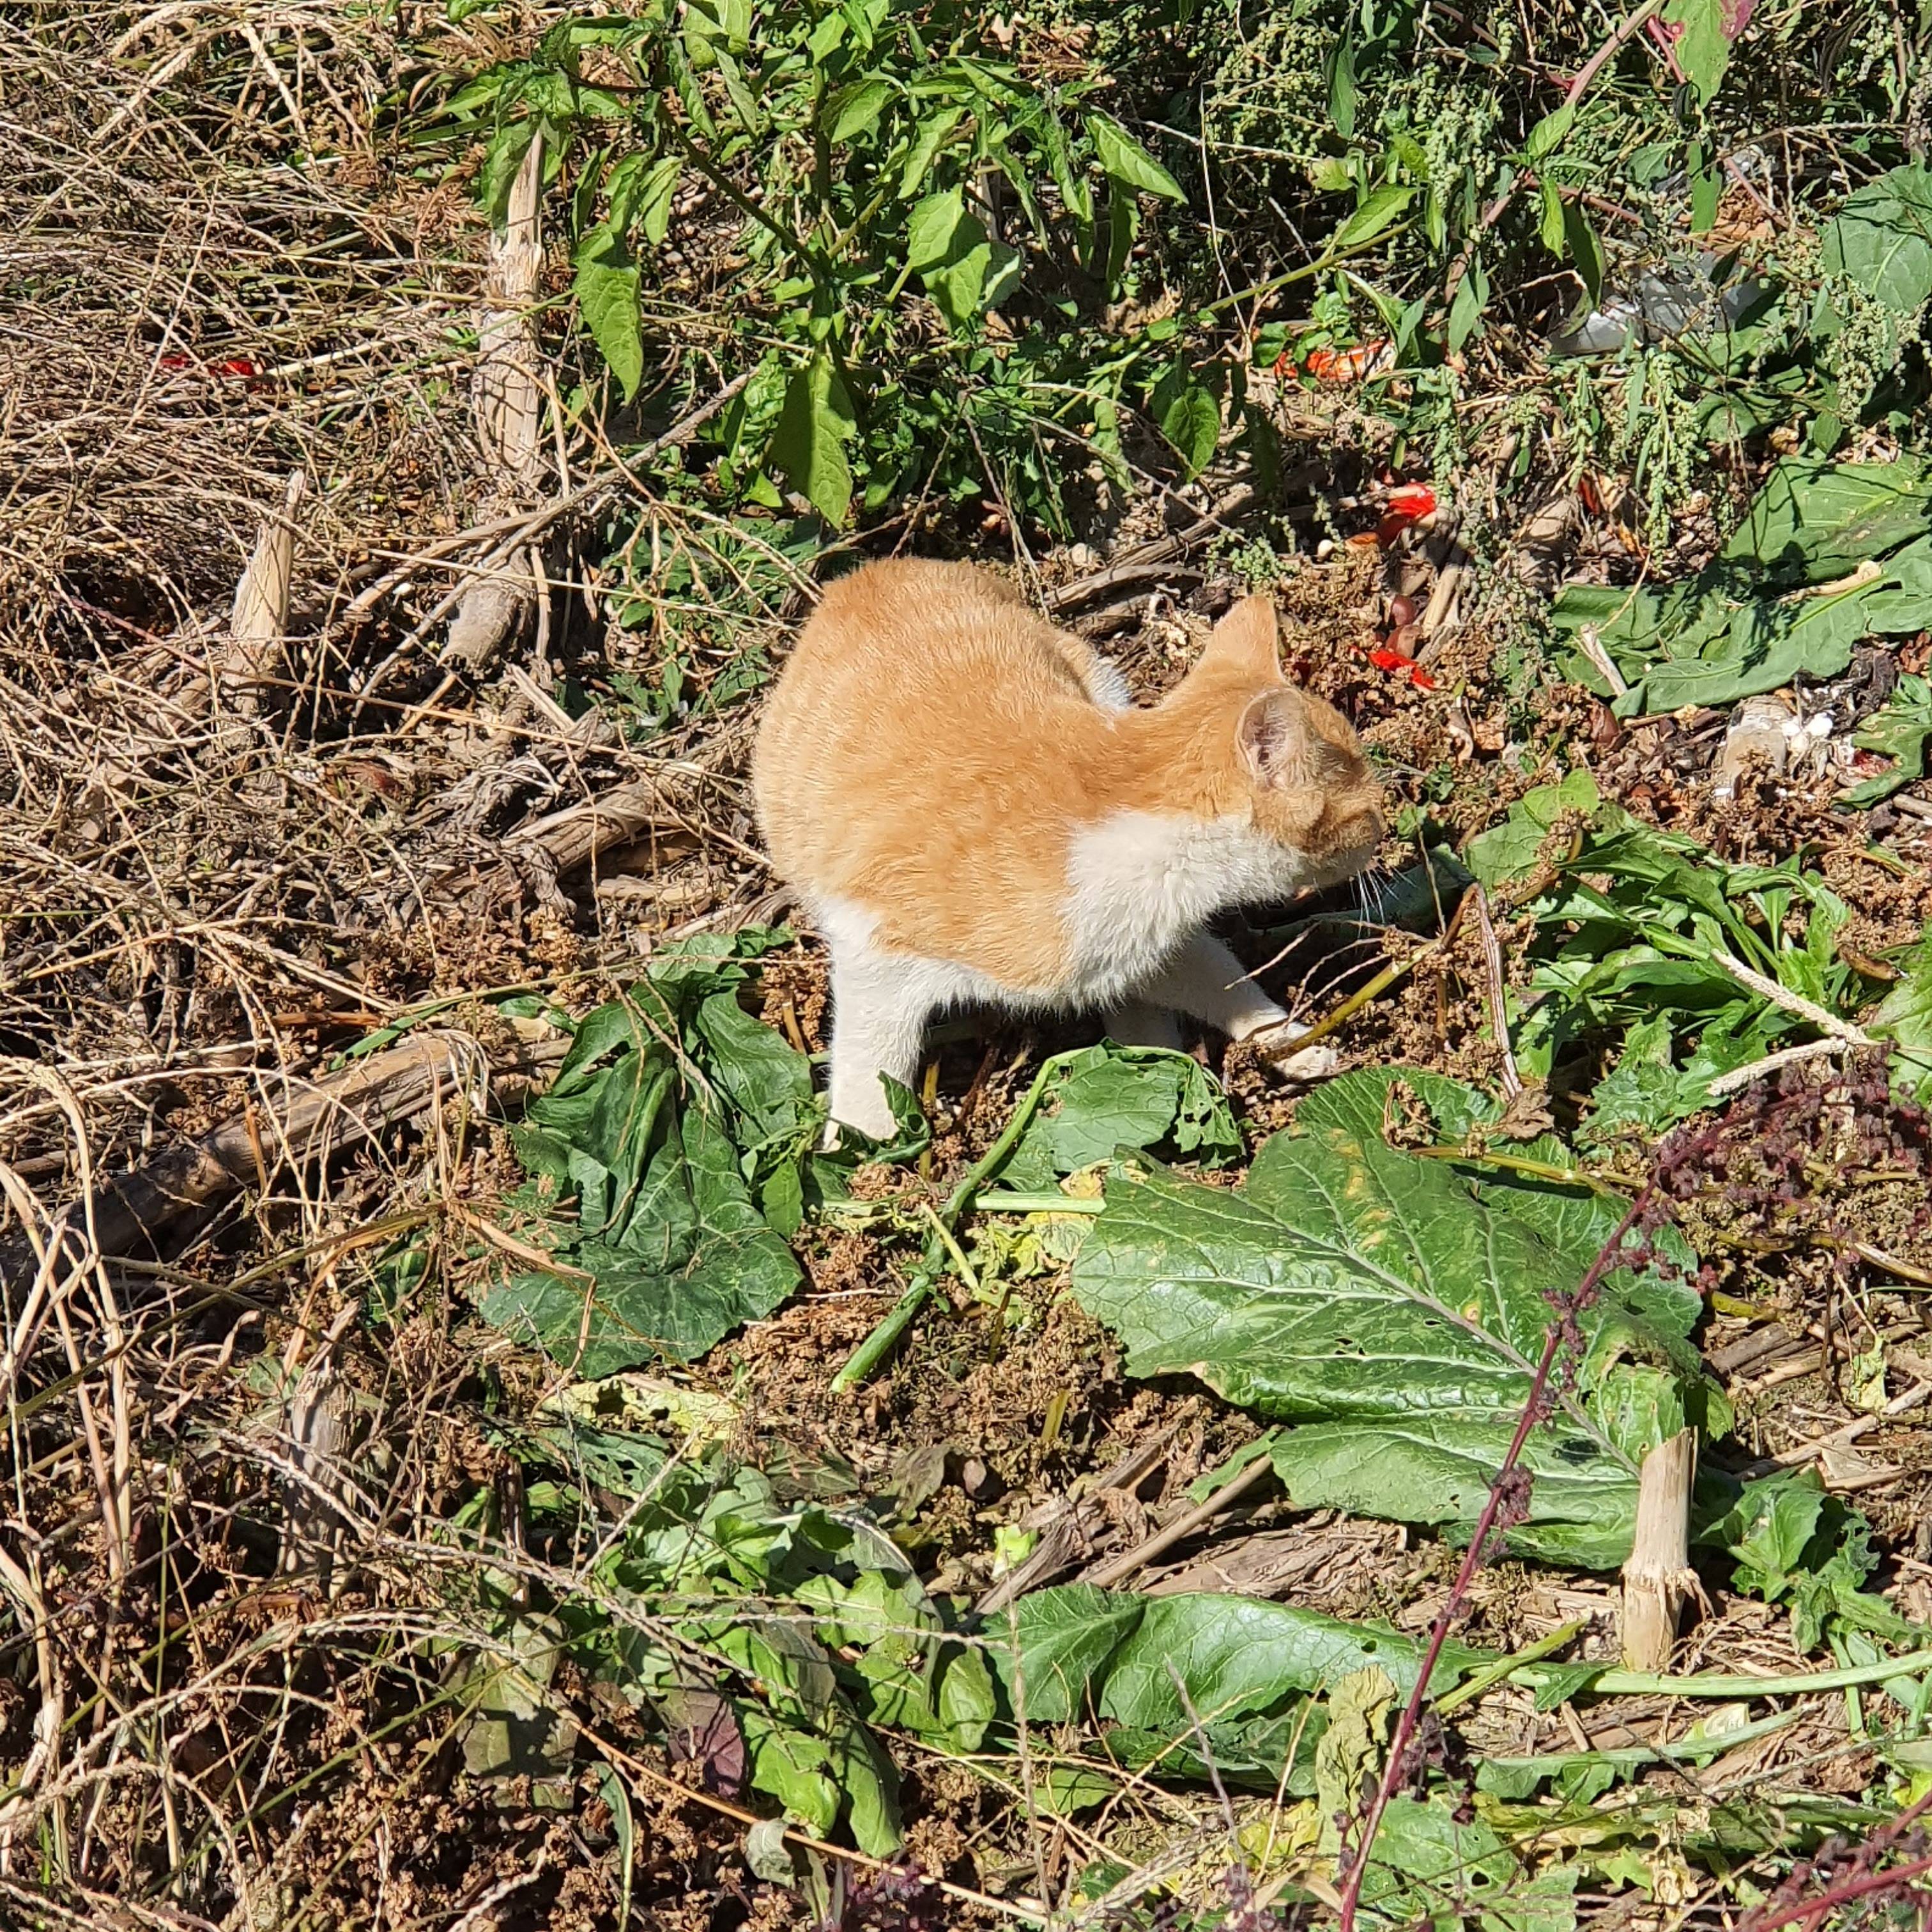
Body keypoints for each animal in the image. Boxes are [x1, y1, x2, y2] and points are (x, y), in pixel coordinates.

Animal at [746, 560, 1383, 1136]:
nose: (1385, 828)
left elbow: (1223, 982)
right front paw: (862, 1156)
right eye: (1364, 812)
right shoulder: (871, 944)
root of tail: (870, 570)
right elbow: (870, 1058)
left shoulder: (1138, 949)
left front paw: (1291, 1042)